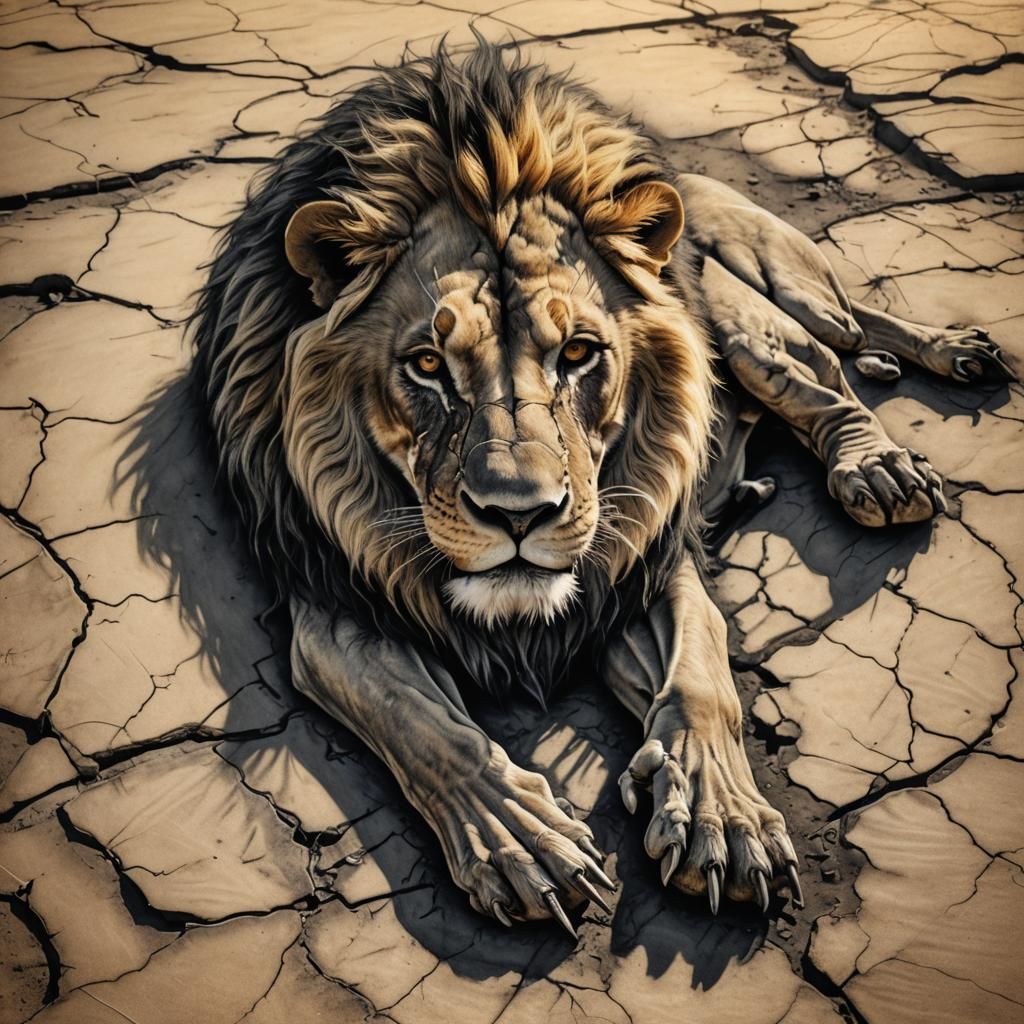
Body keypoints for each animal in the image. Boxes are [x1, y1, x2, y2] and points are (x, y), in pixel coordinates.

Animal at [192, 42, 1012, 934]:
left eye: (579, 354)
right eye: (427, 365)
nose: (518, 515)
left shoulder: (644, 558)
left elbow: (703, 677)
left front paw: (726, 823)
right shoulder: (336, 600)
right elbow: (428, 728)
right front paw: (520, 841)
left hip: (747, 314)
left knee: (830, 364)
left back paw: (890, 445)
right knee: (849, 343)